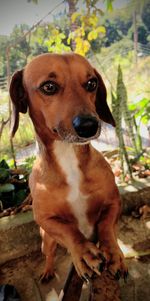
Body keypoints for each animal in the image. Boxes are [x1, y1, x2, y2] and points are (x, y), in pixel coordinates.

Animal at [9, 53, 127, 282]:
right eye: (49, 87)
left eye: (91, 83)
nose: (89, 126)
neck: (68, 156)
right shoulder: (45, 219)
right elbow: (70, 232)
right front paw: (84, 253)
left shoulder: (113, 202)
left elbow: (106, 227)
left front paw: (113, 252)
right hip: (46, 241)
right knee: (50, 254)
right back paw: (47, 271)